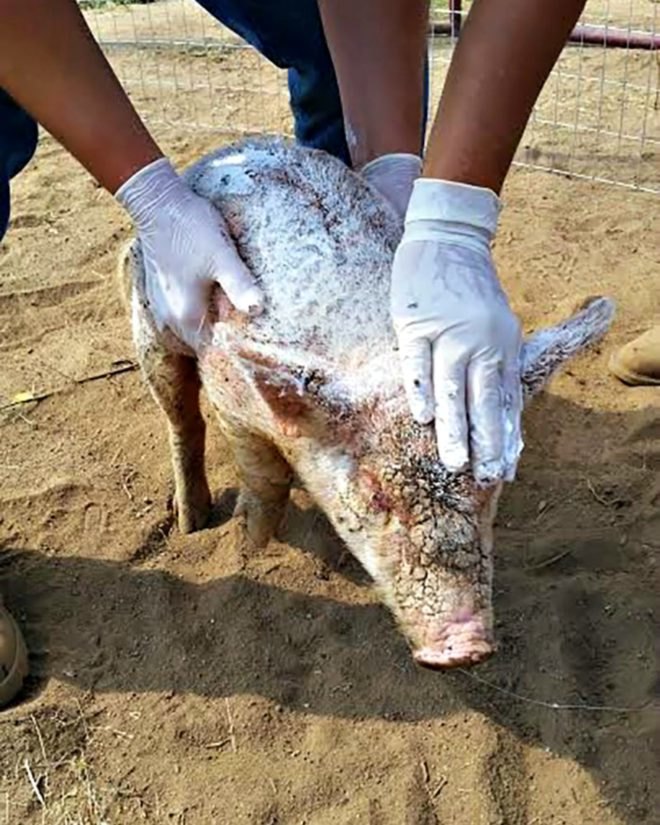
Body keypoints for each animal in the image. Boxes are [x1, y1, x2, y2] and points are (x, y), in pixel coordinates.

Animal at [119, 137, 615, 669]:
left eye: (491, 487)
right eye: (376, 492)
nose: (466, 647)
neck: (378, 352)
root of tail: (227, 148)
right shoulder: (230, 391)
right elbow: (264, 477)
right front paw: (248, 544)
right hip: (150, 315)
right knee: (181, 418)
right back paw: (191, 521)